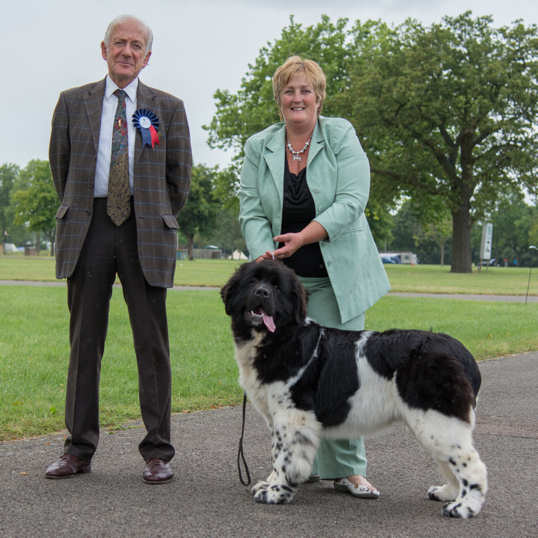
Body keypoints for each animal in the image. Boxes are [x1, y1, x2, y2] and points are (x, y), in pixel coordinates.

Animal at [220, 258, 488, 516]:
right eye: (252, 281)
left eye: (277, 287)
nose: (262, 292)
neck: (279, 338)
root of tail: (462, 353)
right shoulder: (277, 418)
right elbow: (276, 452)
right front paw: (269, 483)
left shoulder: (293, 416)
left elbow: (285, 458)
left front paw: (275, 493)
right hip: (431, 421)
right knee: (450, 459)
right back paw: (447, 493)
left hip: (437, 419)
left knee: (471, 463)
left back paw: (463, 507)